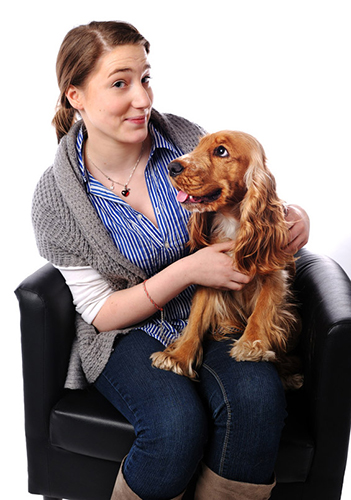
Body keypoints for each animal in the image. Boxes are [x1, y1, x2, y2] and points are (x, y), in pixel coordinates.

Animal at [151, 131, 302, 388]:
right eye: (198, 146)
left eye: (221, 151)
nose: (172, 167)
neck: (233, 221)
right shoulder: (209, 275)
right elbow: (195, 319)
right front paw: (178, 357)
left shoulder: (274, 273)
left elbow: (262, 309)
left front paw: (251, 344)